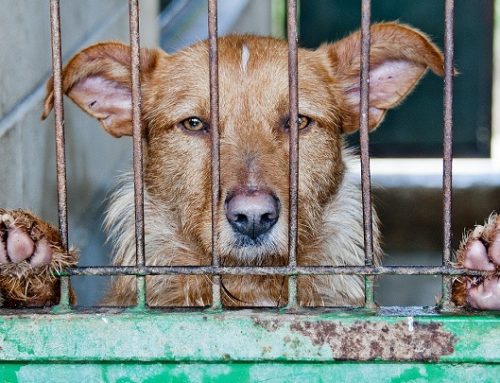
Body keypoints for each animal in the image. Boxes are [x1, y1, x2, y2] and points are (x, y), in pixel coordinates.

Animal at [0, 22, 500, 310]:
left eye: (298, 121)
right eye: (194, 123)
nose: (254, 217)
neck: (251, 288)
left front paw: (480, 280)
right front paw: (29, 264)